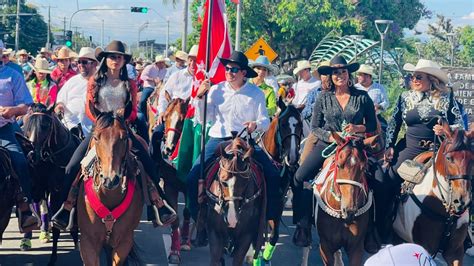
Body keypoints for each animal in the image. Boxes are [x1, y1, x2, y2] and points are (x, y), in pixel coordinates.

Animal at [206, 137, 266, 266]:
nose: (232, 219)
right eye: (223, 181)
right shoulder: (215, 233)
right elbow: (215, 259)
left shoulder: (245, 236)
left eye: (245, 182)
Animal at [260, 98, 304, 262]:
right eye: (284, 124)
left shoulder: (278, 202)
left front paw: (265, 258)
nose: (292, 157)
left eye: (300, 124)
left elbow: (274, 235)